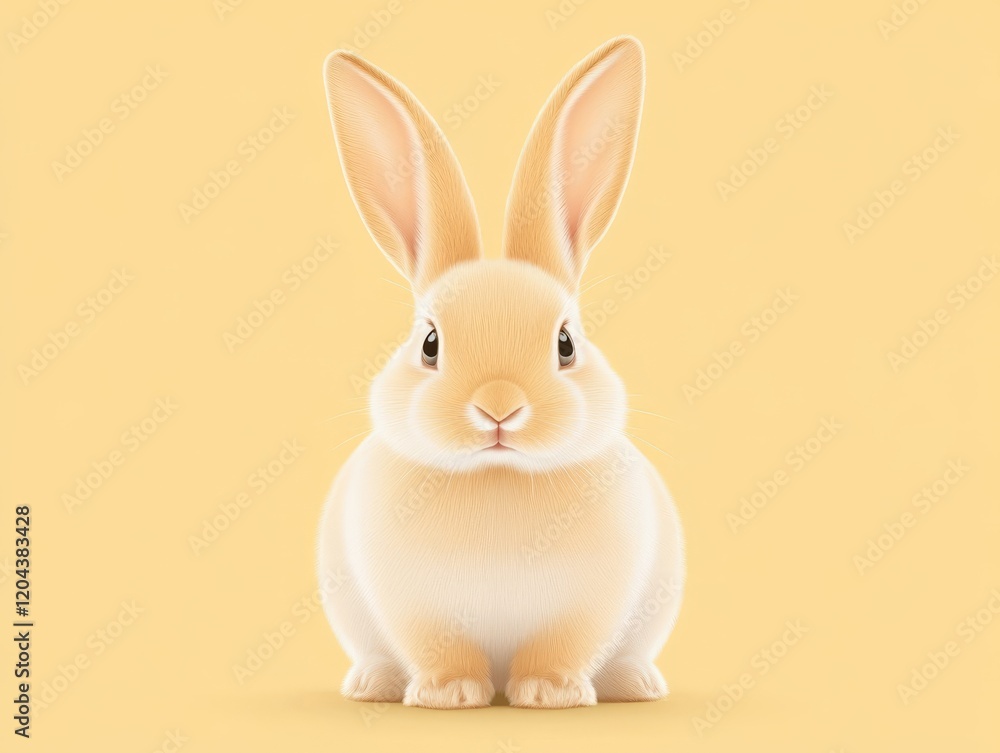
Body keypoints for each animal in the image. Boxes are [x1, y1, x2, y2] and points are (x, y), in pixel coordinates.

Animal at [317, 35, 685, 710]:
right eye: (430, 344)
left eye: (565, 344)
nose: (498, 407)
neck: (498, 476)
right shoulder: (418, 609)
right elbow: (442, 649)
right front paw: (450, 694)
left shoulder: (583, 608)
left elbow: (559, 647)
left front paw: (549, 693)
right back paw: (374, 685)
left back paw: (635, 686)